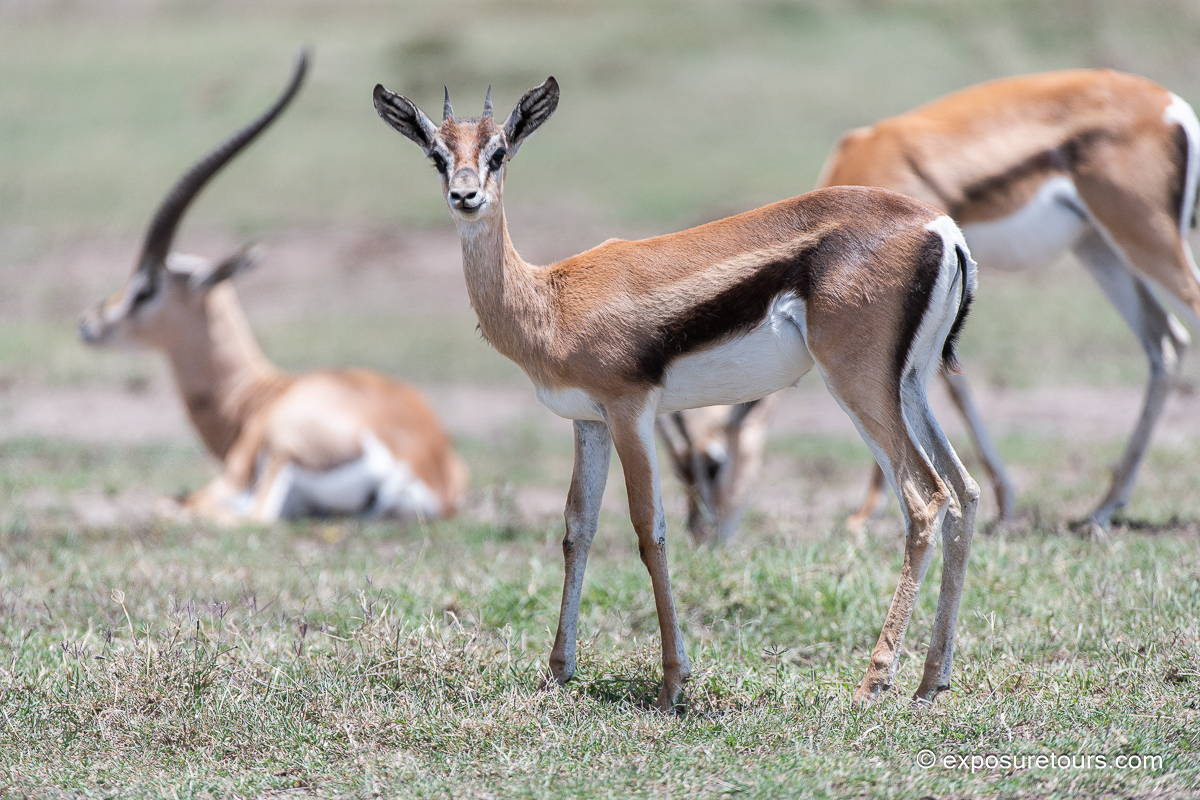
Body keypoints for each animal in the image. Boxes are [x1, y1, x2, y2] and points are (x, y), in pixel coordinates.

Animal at [79, 50, 467, 525]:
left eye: (146, 289)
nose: (90, 324)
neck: (256, 396)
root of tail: (417, 463)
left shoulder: (233, 474)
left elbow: (171, 502)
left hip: (275, 459)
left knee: (245, 515)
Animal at [372, 77, 979, 709]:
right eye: (437, 155)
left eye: (499, 152)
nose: (465, 196)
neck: (550, 299)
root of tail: (940, 229)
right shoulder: (588, 422)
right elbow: (577, 528)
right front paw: (559, 669)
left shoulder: (629, 411)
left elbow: (649, 529)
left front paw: (671, 682)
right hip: (909, 385)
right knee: (964, 492)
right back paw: (931, 681)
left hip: (858, 387)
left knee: (925, 500)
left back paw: (873, 680)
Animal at [670, 69, 1200, 538]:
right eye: (679, 469)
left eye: (712, 463)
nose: (702, 532)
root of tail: (1169, 103)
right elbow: (950, 388)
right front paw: (1005, 502)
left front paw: (863, 517)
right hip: (1098, 246)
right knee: (1165, 342)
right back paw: (1102, 509)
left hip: (1143, 236)